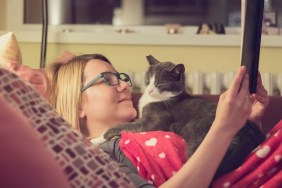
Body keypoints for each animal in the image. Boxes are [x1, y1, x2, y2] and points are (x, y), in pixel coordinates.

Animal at [103, 55, 264, 178]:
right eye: (147, 79)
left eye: (160, 84)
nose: (149, 90)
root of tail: (250, 133)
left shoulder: (153, 121)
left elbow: (126, 125)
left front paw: (102, 136)